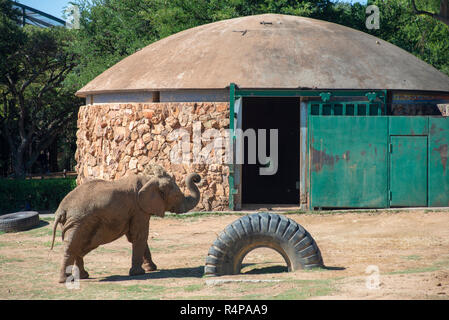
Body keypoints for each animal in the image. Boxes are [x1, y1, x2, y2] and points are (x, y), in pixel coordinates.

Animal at [49, 165, 201, 282]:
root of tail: (61, 210)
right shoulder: (139, 209)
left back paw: (83, 276)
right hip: (78, 222)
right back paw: (65, 280)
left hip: (73, 223)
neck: (148, 178)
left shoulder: (135, 211)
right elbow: (140, 235)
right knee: (72, 246)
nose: (197, 178)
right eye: (177, 196)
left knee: (78, 246)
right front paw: (139, 273)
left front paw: (152, 269)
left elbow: (136, 237)